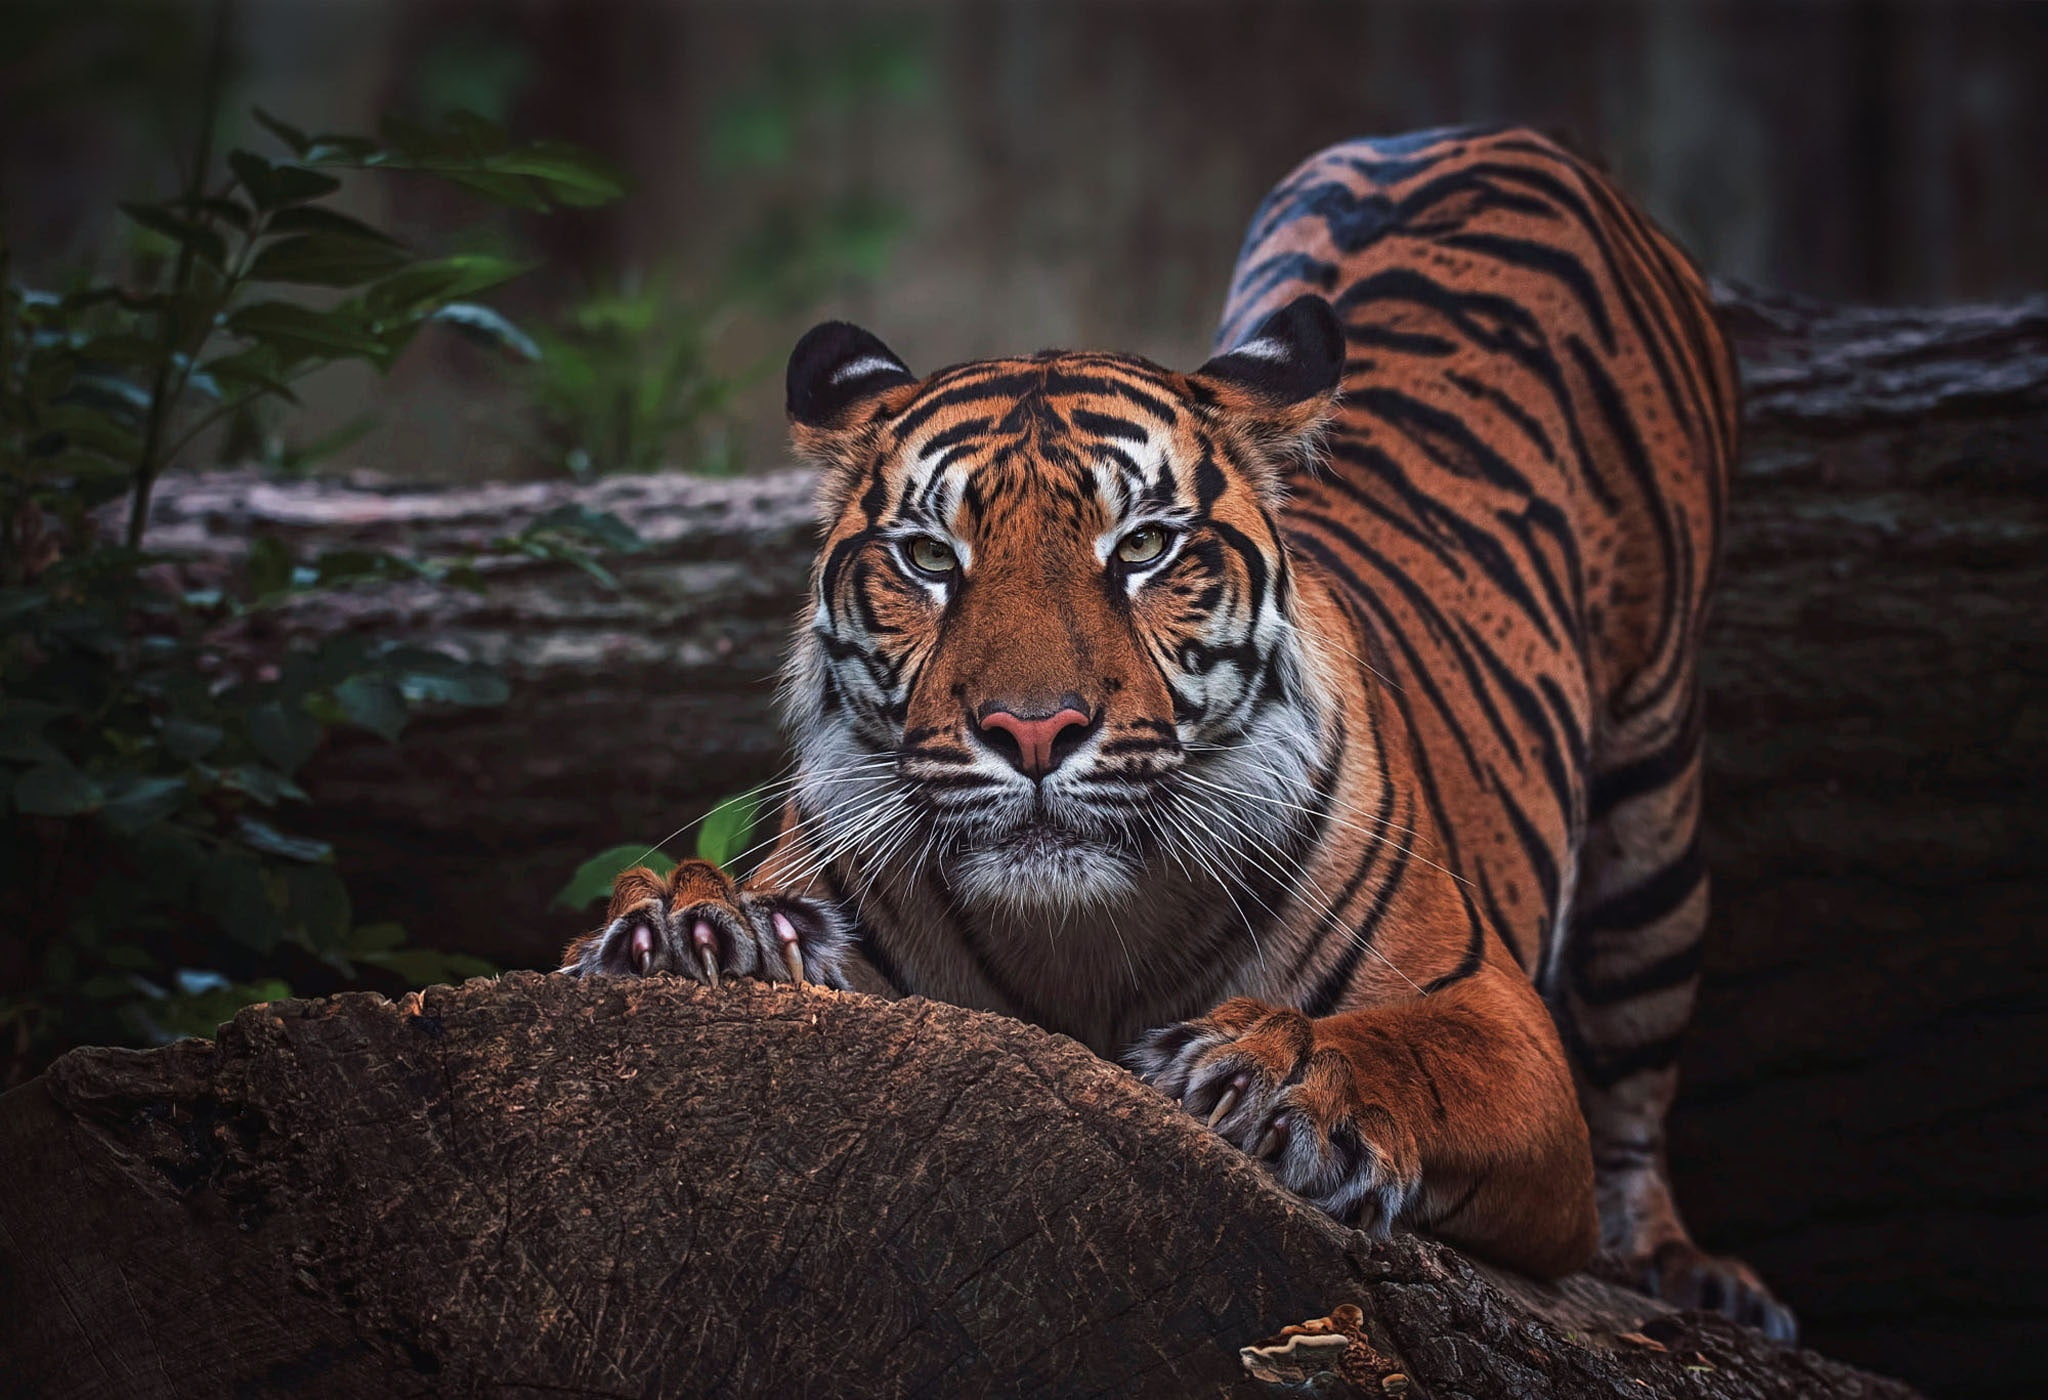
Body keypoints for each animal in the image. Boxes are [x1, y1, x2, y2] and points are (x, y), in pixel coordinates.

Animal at [563, 125, 1792, 1337]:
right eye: (927, 557)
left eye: (1145, 545)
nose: (1033, 729)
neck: (1078, 940)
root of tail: (1471, 132)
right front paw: (690, 927)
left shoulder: (1502, 1022)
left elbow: (1413, 1047)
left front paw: (1288, 1071)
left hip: (1652, 802)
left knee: (1637, 1075)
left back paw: (1690, 1273)